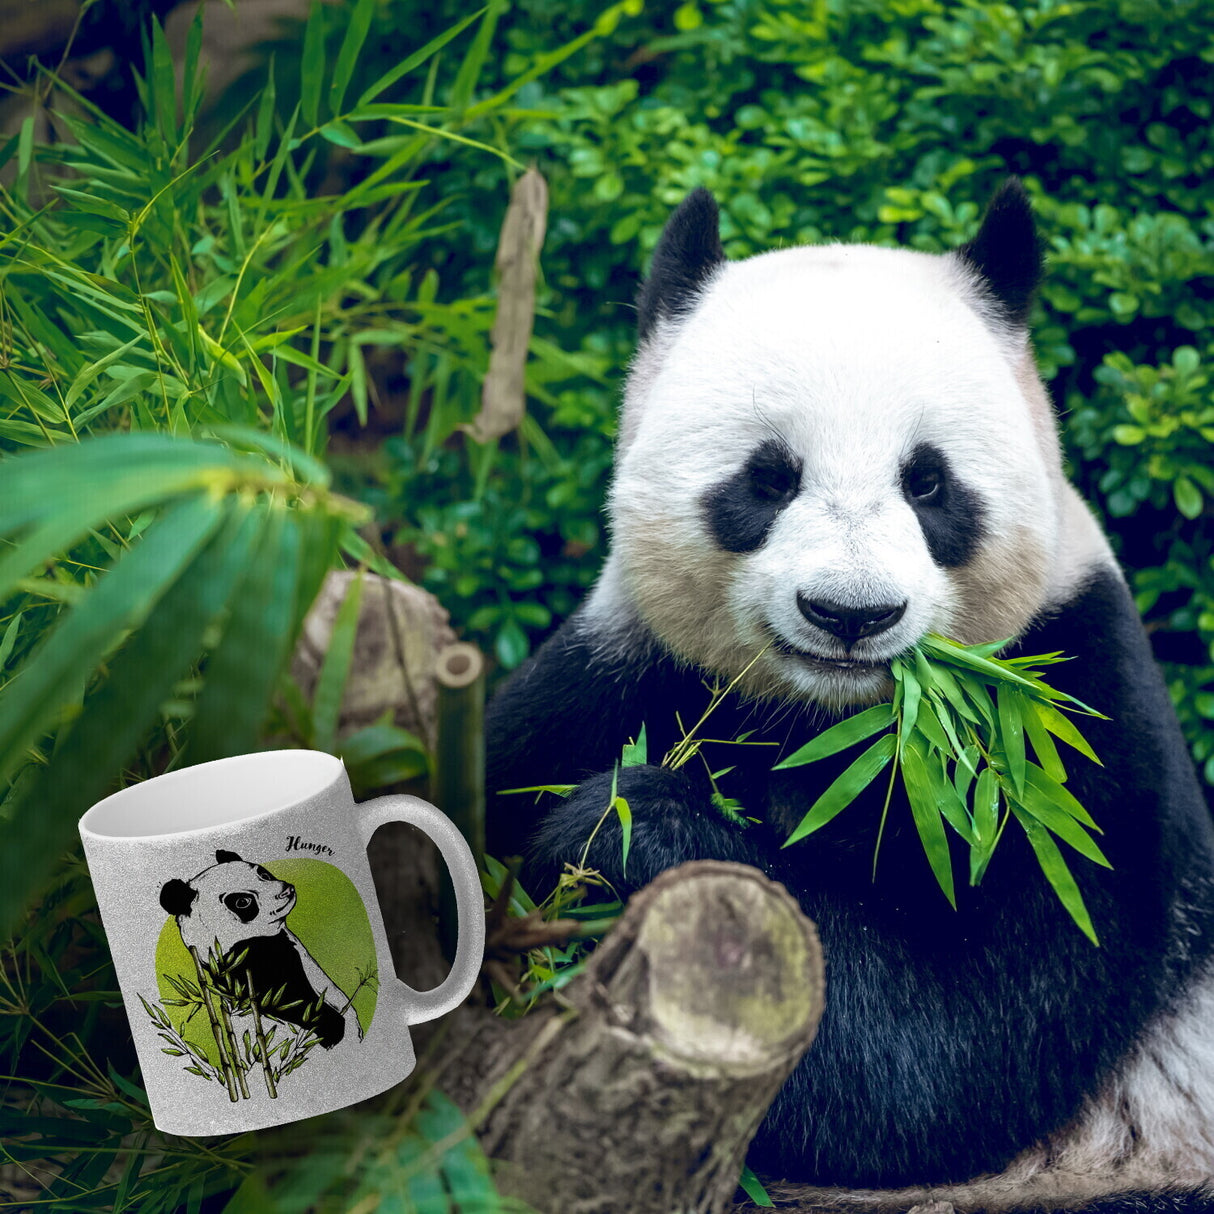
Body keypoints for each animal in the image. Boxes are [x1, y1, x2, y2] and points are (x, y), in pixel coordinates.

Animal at [159, 850, 354, 1050]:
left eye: (264, 875)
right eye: (243, 901)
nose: (285, 890)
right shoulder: (246, 964)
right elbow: (289, 999)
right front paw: (333, 1029)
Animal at [485, 181, 1214, 1211]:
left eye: (929, 481)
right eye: (768, 476)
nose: (852, 612)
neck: (838, 721)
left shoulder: (1065, 741)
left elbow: (946, 1051)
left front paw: (627, 826)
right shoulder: (617, 673)